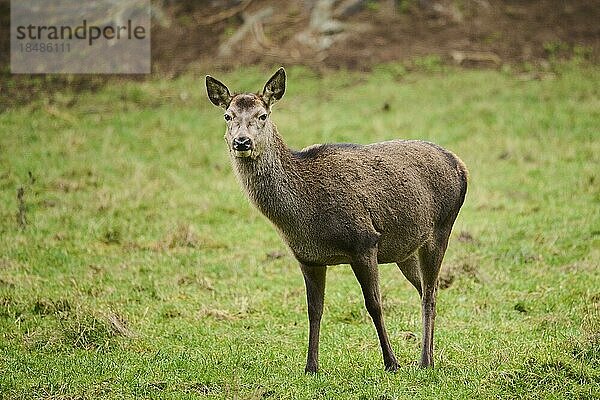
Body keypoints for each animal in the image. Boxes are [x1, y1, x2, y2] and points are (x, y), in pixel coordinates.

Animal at [206, 66, 468, 372]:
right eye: (228, 116)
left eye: (263, 115)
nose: (242, 141)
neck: (304, 217)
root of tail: (460, 165)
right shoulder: (308, 257)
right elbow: (314, 310)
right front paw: (311, 366)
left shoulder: (364, 241)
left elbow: (374, 304)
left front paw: (391, 362)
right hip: (405, 250)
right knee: (427, 288)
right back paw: (430, 355)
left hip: (441, 228)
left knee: (429, 293)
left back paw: (425, 360)